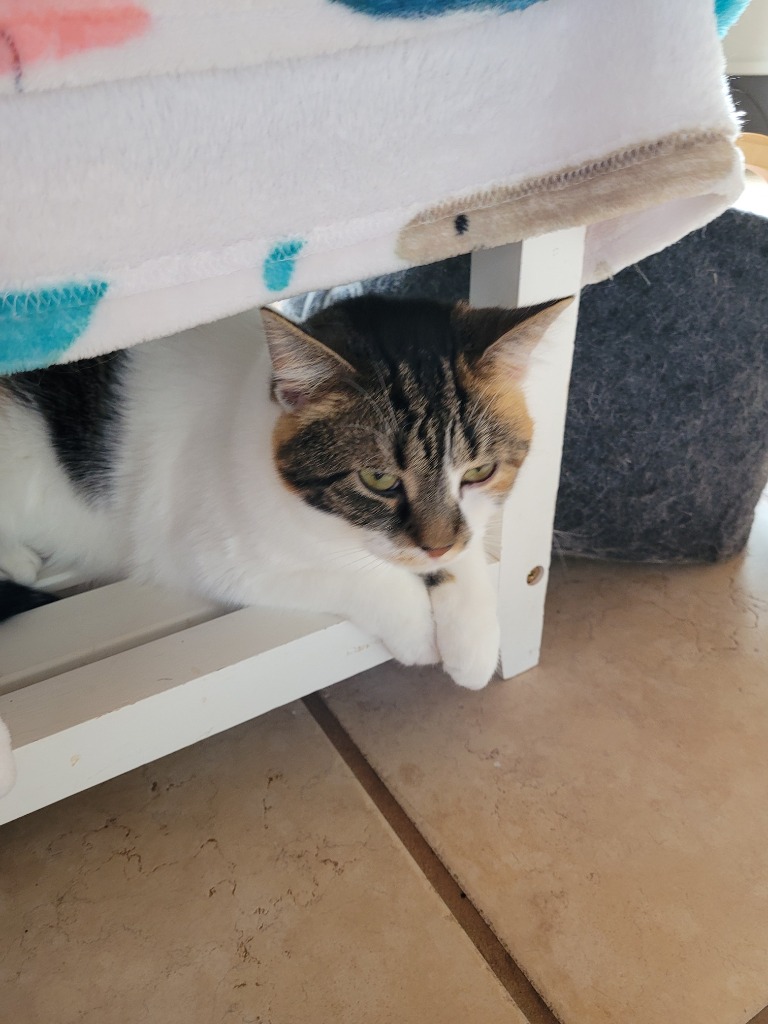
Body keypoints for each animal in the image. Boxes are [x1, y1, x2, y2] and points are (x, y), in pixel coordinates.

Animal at [0, 294, 570, 689]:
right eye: (379, 480)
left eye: (479, 472)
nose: (436, 546)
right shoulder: (211, 557)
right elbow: (355, 576)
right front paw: (414, 625)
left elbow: (468, 547)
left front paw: (474, 639)